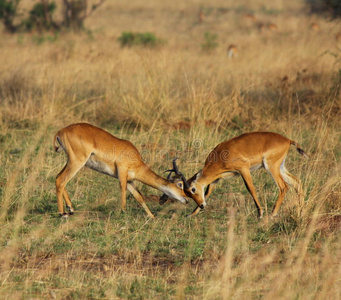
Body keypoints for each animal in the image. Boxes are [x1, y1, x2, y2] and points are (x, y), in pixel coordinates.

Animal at [52, 122, 189, 218]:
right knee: (61, 180)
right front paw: (122, 212)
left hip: (70, 161)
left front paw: (152, 216)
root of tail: (60, 131)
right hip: (77, 162)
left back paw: (70, 209)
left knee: (58, 177)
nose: (186, 199)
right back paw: (62, 213)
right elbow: (122, 189)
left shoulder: (130, 180)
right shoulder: (122, 172)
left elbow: (139, 196)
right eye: (180, 184)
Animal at [161, 131, 306, 218]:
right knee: (297, 182)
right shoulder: (217, 178)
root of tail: (288, 140)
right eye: (188, 193)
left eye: (192, 189)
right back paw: (300, 211)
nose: (201, 205)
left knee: (284, 186)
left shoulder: (243, 169)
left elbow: (251, 189)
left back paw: (272, 214)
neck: (221, 155)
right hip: (280, 167)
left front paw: (260, 213)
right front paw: (192, 214)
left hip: (271, 167)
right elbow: (207, 193)